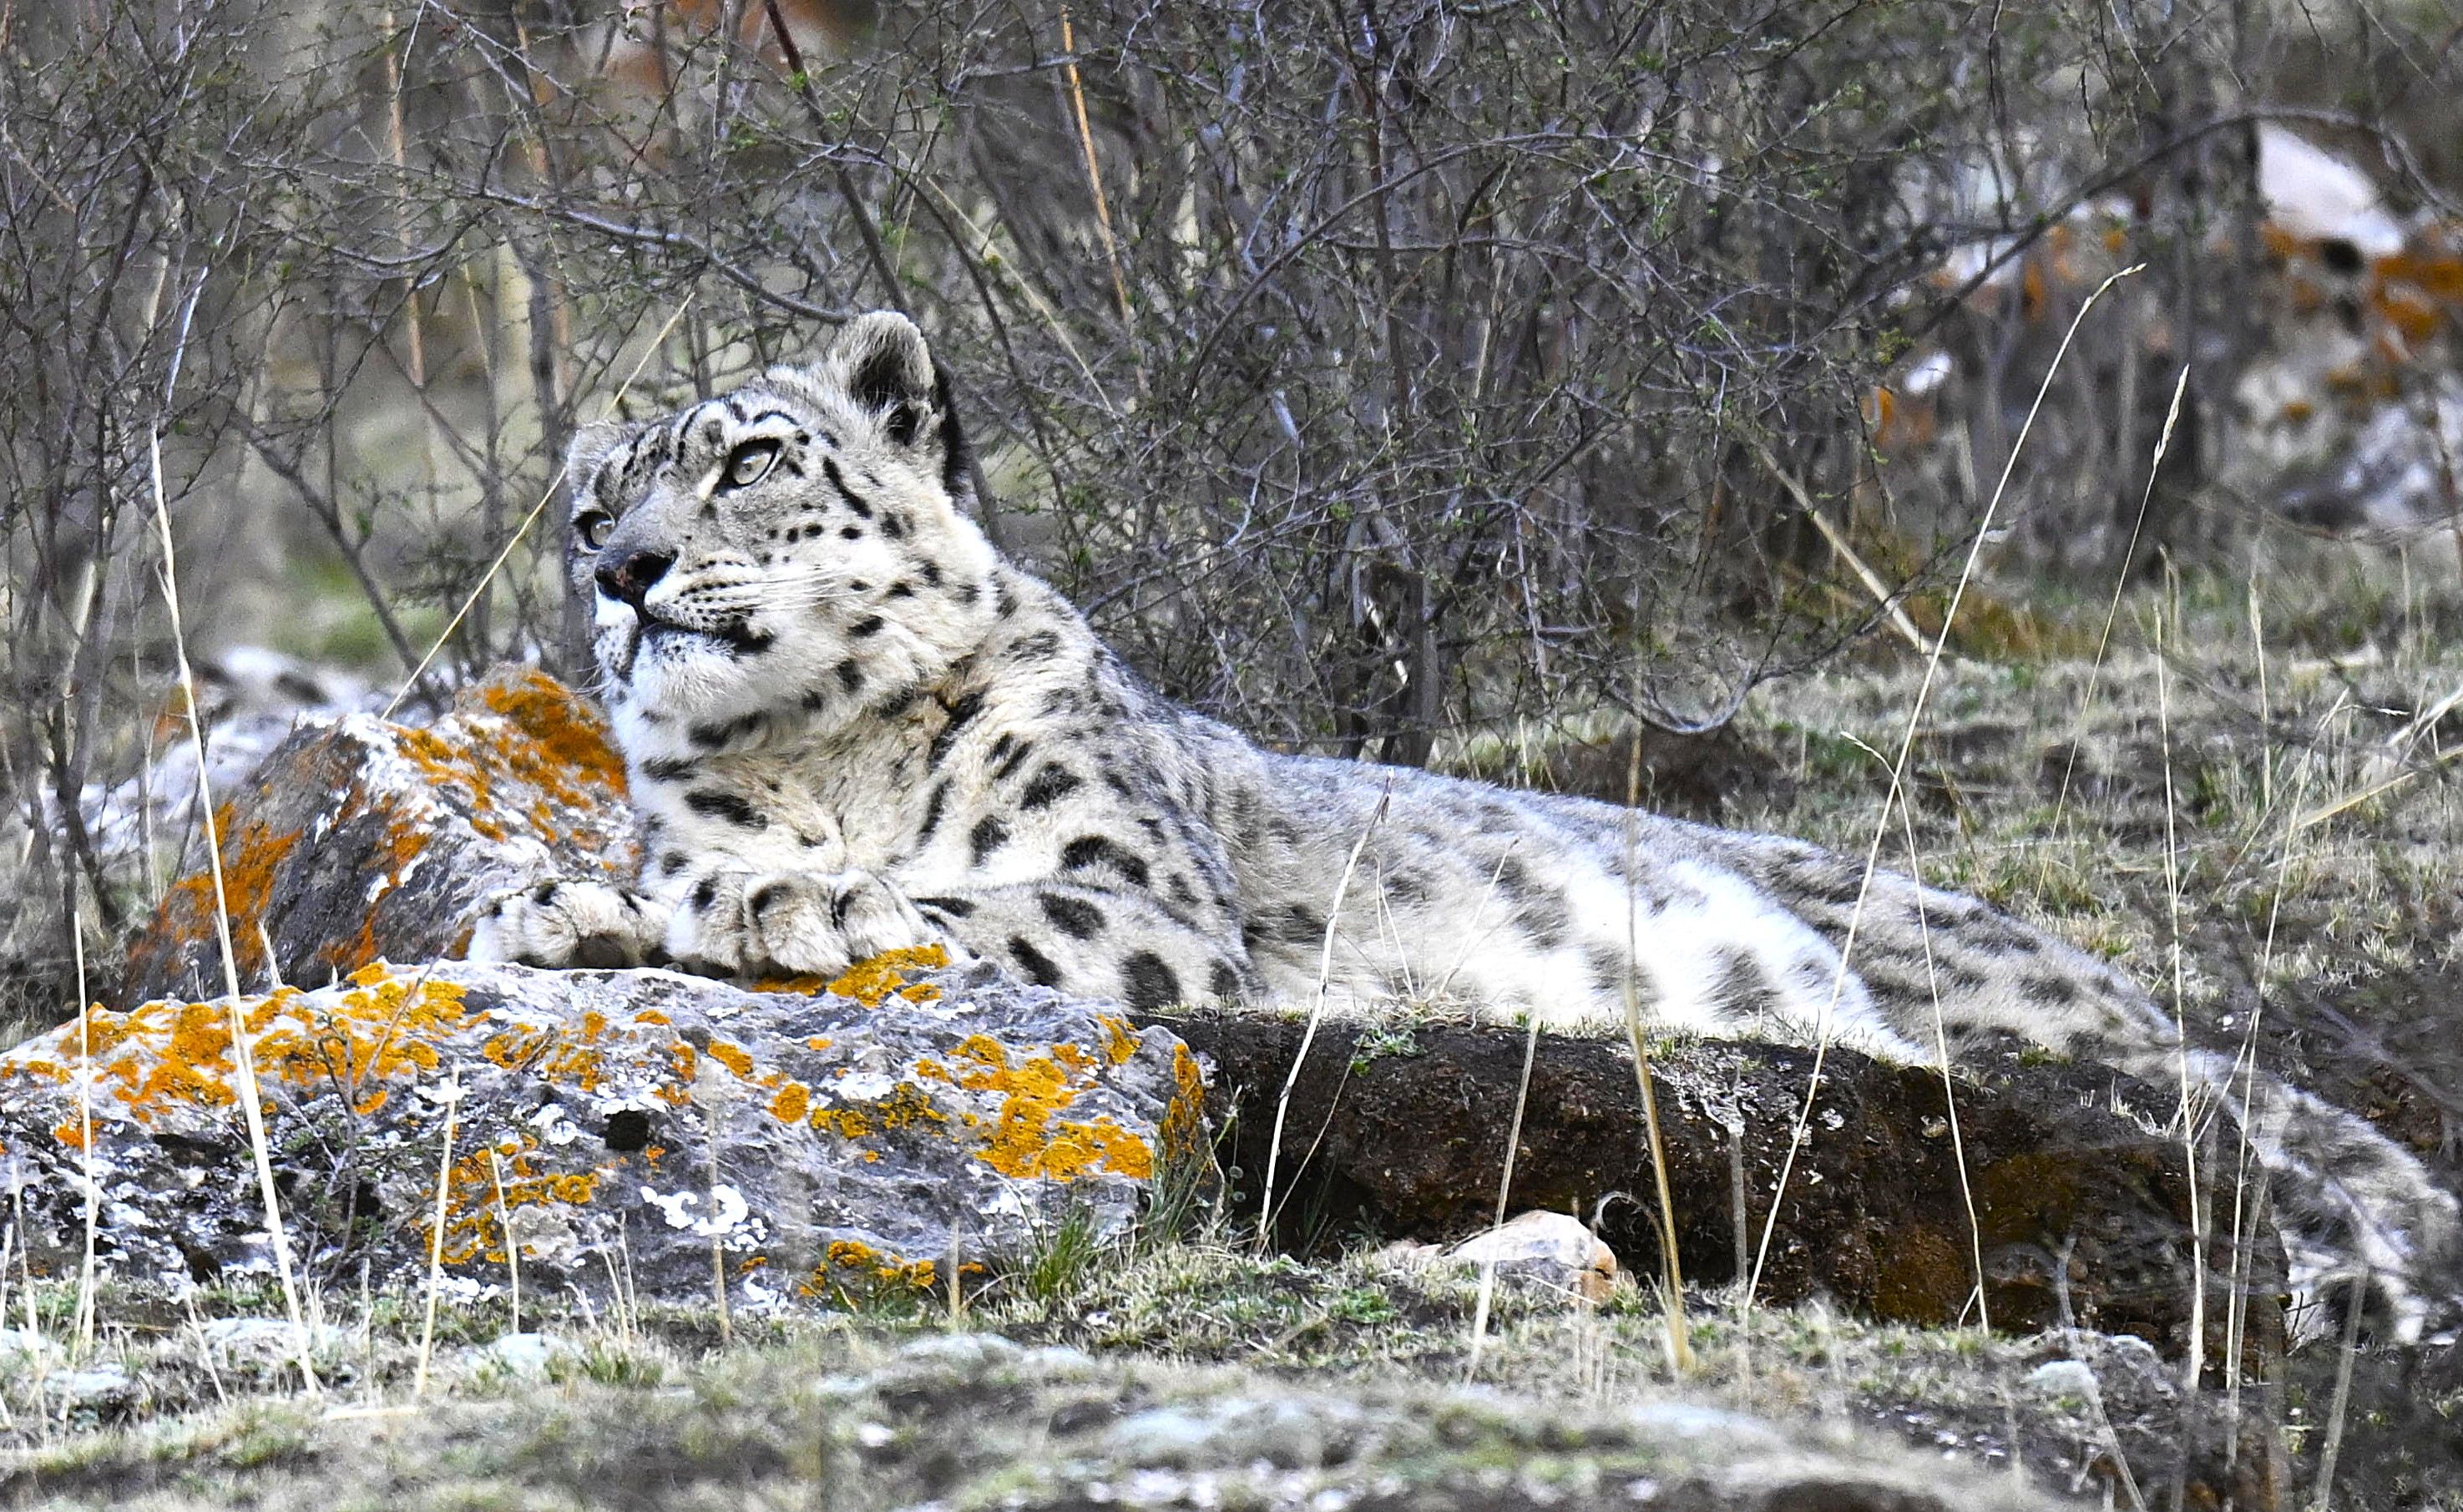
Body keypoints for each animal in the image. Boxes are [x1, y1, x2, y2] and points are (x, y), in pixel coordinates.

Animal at [469, 309, 2460, 1342]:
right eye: (588, 497)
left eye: (748, 456)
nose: (619, 567)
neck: (819, 757)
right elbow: (646, 878)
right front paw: (559, 906)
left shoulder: (1131, 895)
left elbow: (955, 906)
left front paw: (776, 903)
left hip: (2000, 1006)